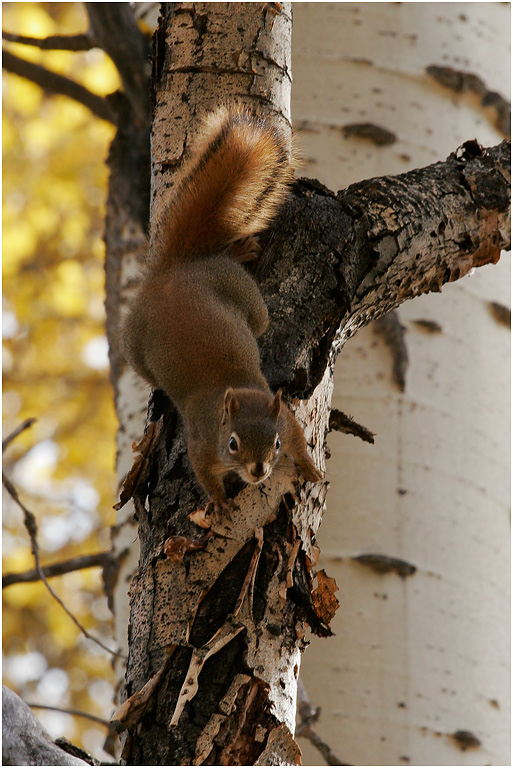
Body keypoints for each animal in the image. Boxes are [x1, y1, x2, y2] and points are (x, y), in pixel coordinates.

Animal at [121, 106, 323, 513]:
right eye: (232, 443)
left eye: (276, 444)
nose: (259, 471)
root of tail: (173, 271)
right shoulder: (201, 444)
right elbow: (204, 475)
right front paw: (220, 503)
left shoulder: (285, 419)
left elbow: (298, 440)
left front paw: (310, 468)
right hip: (139, 347)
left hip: (242, 296)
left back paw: (238, 250)